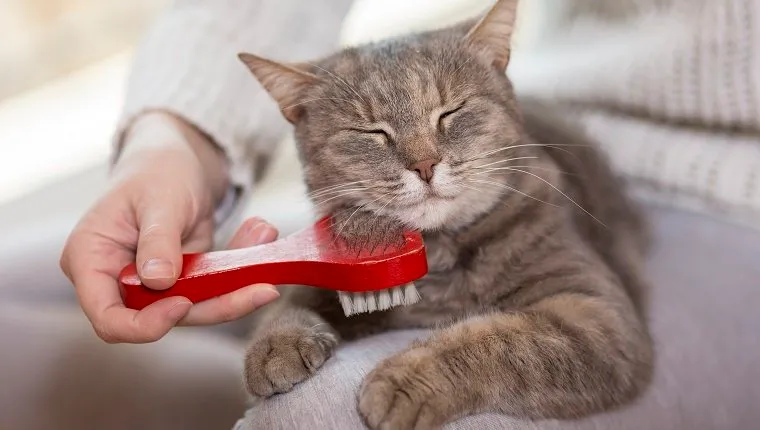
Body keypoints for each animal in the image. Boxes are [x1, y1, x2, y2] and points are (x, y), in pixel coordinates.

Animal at [235, 1, 652, 428]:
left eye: (450, 112)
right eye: (372, 132)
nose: (424, 165)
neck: (436, 257)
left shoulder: (595, 314)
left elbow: (499, 340)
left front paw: (405, 380)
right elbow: (296, 297)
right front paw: (275, 342)